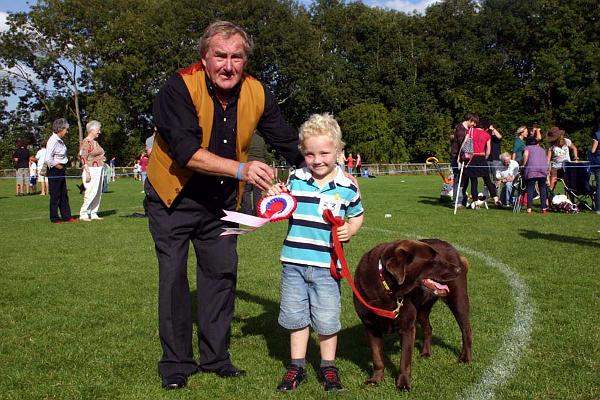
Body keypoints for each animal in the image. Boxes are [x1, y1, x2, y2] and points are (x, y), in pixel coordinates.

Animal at [352, 239, 474, 390]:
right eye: (433, 260)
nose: (458, 269)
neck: (387, 288)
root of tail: (456, 253)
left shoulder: (407, 327)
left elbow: (405, 359)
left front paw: (403, 384)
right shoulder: (370, 327)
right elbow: (377, 357)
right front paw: (375, 379)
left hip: (458, 299)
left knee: (466, 329)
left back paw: (465, 358)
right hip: (422, 309)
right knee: (428, 328)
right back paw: (426, 353)